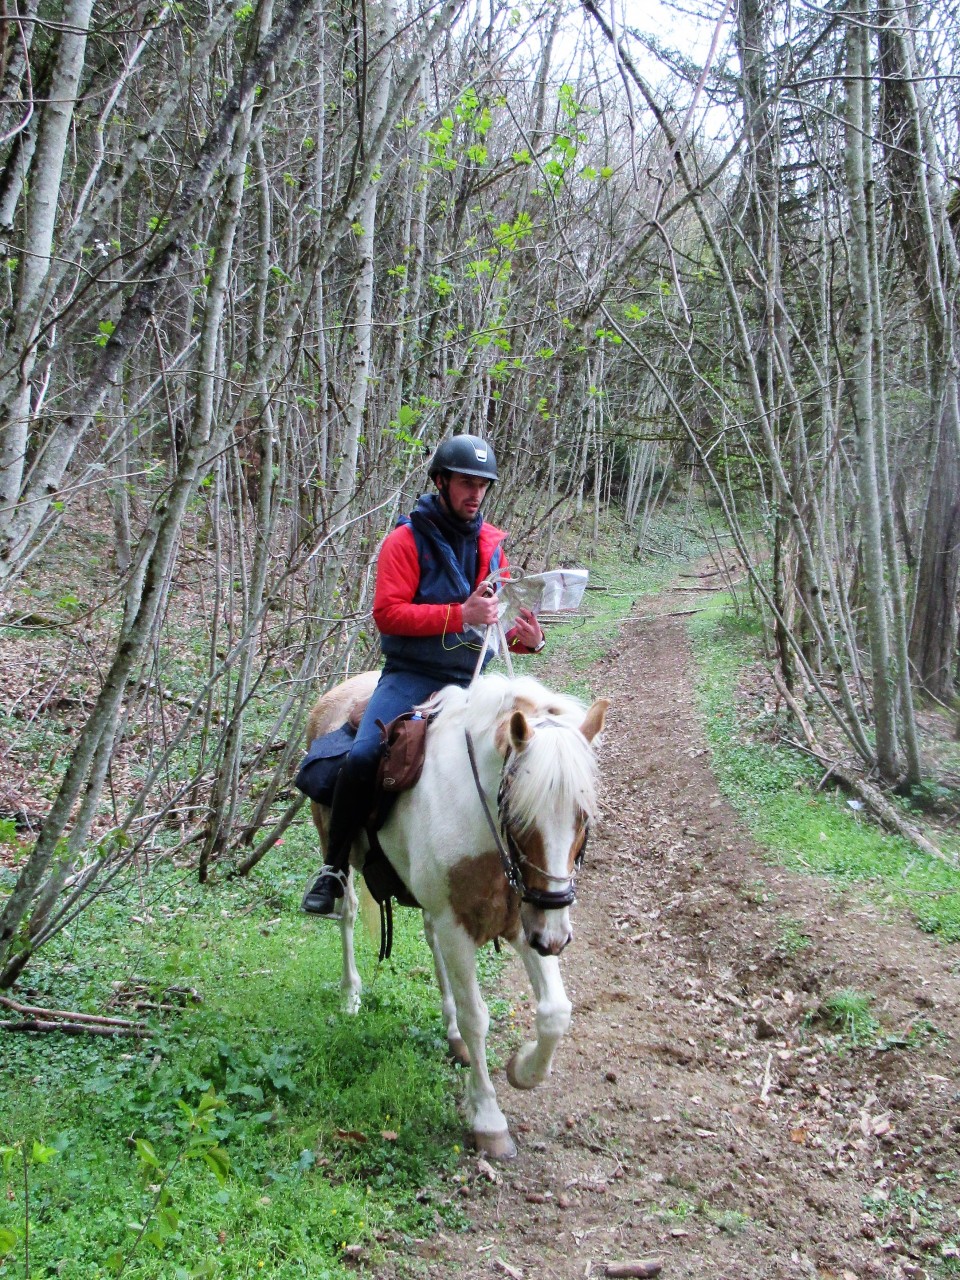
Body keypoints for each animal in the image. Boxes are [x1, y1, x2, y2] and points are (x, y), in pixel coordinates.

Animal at [304, 670, 611, 1162]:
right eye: (519, 818)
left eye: (583, 816)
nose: (555, 938)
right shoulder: (461, 927)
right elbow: (477, 1018)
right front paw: (488, 1118)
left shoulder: (524, 920)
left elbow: (555, 1011)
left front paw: (522, 1069)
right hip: (339, 854)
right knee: (347, 914)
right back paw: (350, 994)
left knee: (430, 940)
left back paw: (450, 1037)